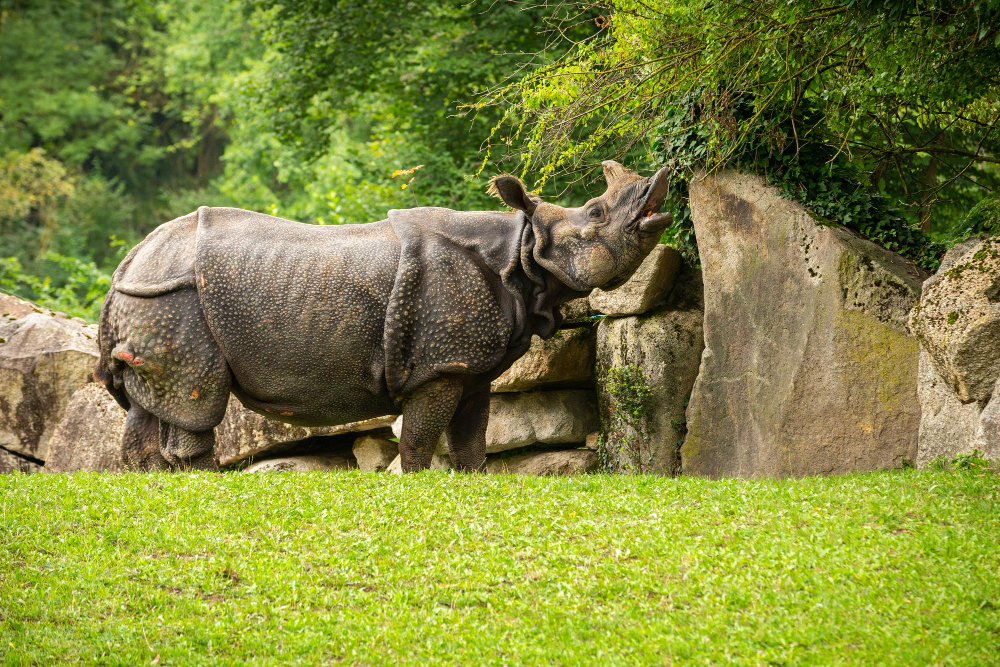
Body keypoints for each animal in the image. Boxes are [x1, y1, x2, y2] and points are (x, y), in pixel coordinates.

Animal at [95, 160, 673, 472]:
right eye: (597, 214)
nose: (657, 203)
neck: (522, 249)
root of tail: (130, 258)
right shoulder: (438, 366)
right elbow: (419, 438)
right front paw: (415, 485)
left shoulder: (469, 367)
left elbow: (472, 439)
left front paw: (475, 483)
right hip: (177, 300)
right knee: (197, 402)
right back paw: (209, 483)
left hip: (153, 298)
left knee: (149, 405)